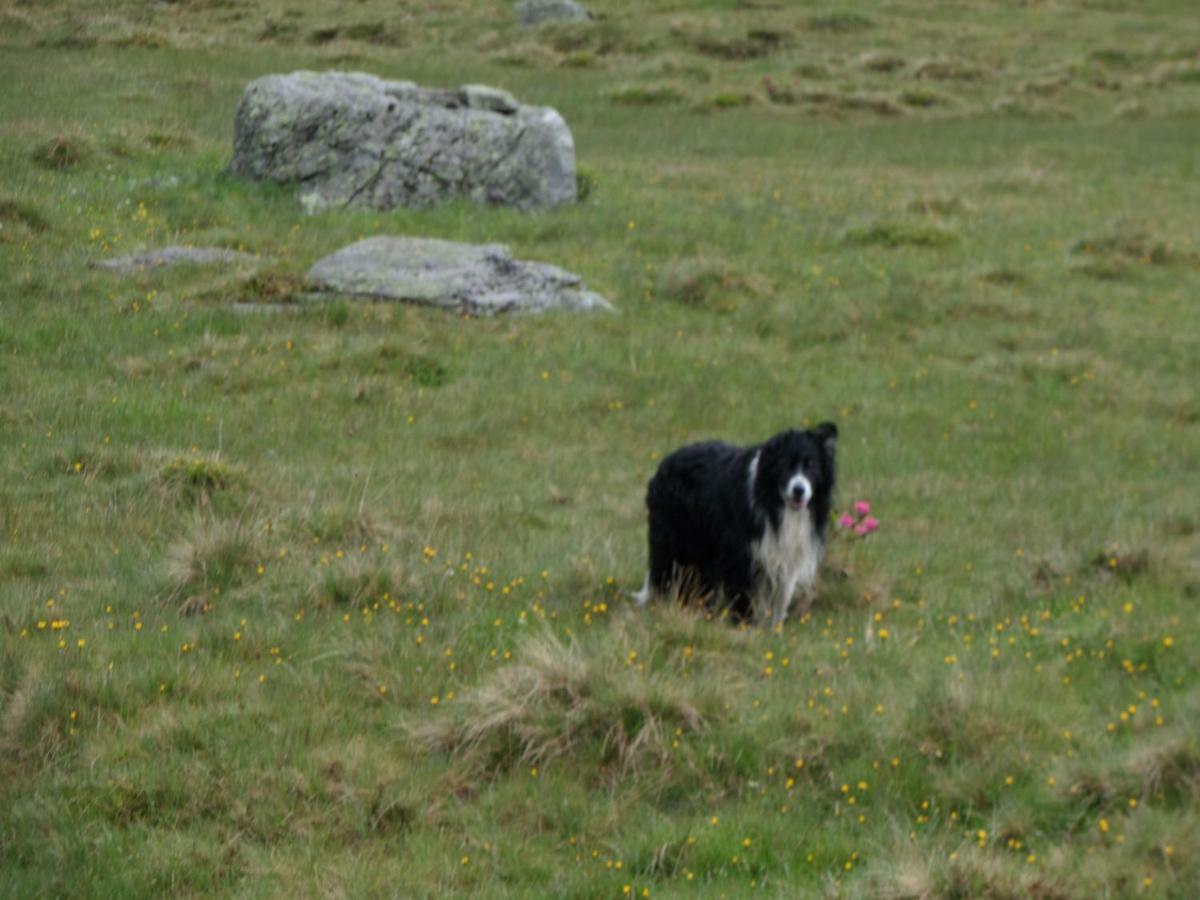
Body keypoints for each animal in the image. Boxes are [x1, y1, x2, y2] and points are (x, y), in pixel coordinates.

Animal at [633, 424, 840, 628]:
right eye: (784, 466)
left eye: (811, 465)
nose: (799, 491)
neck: (775, 504)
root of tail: (666, 461)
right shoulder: (740, 550)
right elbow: (743, 588)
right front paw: (745, 624)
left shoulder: (783, 552)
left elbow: (781, 593)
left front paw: (774, 627)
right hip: (675, 536)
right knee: (667, 569)